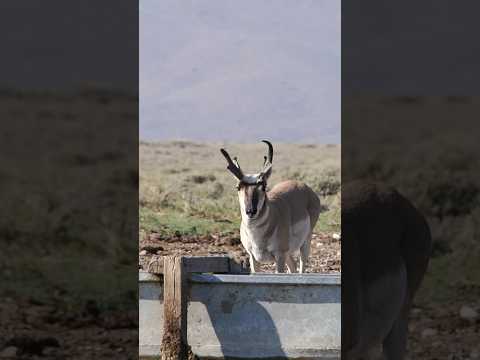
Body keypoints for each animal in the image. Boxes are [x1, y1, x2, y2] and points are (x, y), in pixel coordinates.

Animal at [219, 141, 320, 272]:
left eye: (264, 186)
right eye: (238, 187)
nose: (250, 211)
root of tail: (303, 186)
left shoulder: (280, 256)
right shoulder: (253, 257)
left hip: (305, 243)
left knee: (302, 266)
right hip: (289, 253)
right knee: (293, 265)